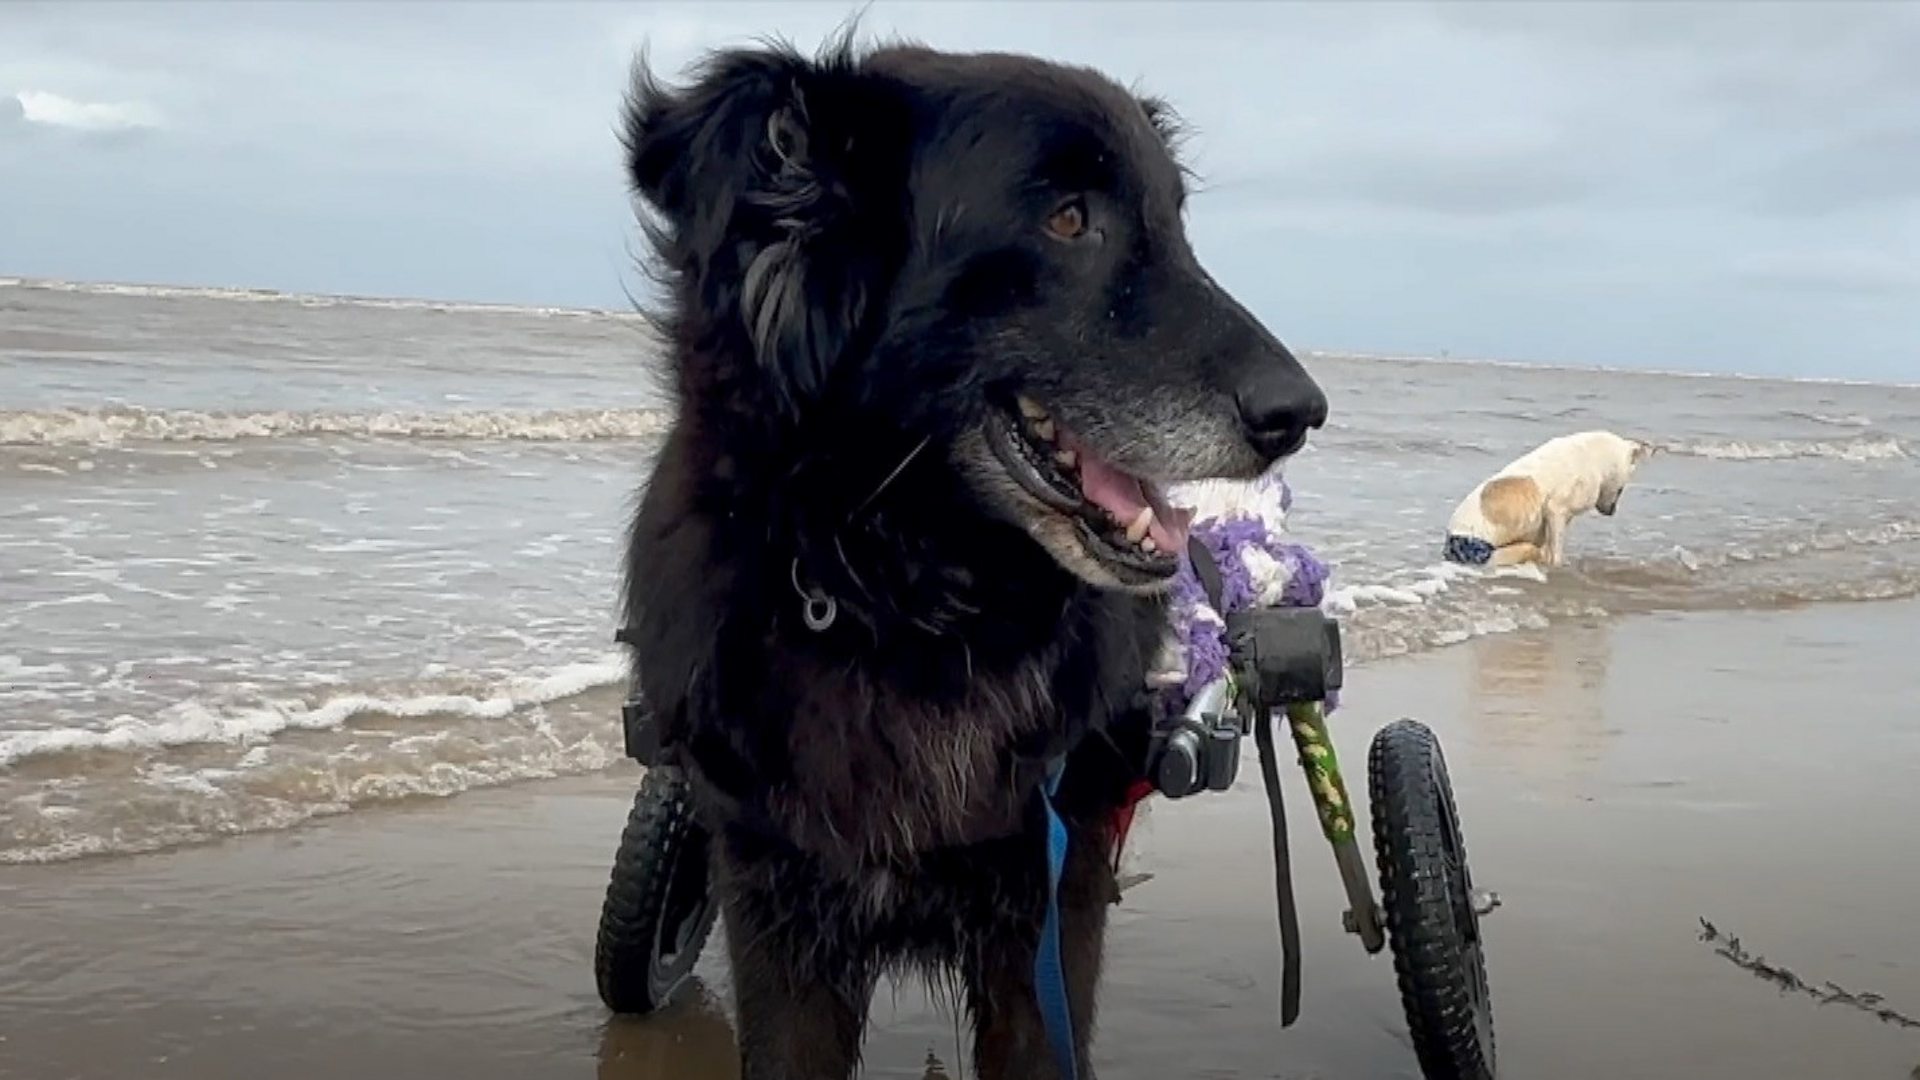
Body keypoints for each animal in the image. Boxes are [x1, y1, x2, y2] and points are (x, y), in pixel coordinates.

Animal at [622, 33, 1328, 1076]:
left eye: (1174, 223)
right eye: (1069, 220)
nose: (1301, 415)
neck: (906, 604)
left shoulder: (1050, 905)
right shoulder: (775, 906)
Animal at [1443, 428, 1651, 568]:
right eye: (1623, 487)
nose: (1611, 512)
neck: (1599, 457)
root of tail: (1450, 547)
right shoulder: (1555, 510)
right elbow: (1555, 551)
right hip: (1507, 551)